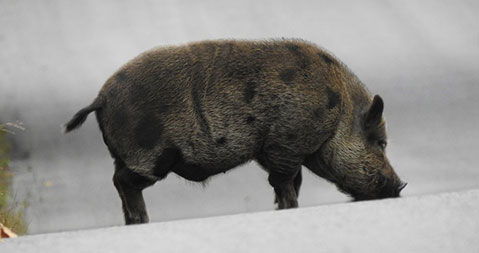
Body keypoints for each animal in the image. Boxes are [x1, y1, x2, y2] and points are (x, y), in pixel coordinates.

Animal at [65, 38, 406, 224]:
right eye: (380, 142)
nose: (401, 185)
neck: (338, 109)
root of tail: (101, 97)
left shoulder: (279, 151)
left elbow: (291, 182)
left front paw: (285, 206)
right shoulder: (286, 144)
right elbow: (285, 181)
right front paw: (290, 207)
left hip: (124, 154)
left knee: (118, 180)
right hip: (151, 155)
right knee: (123, 180)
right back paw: (141, 220)